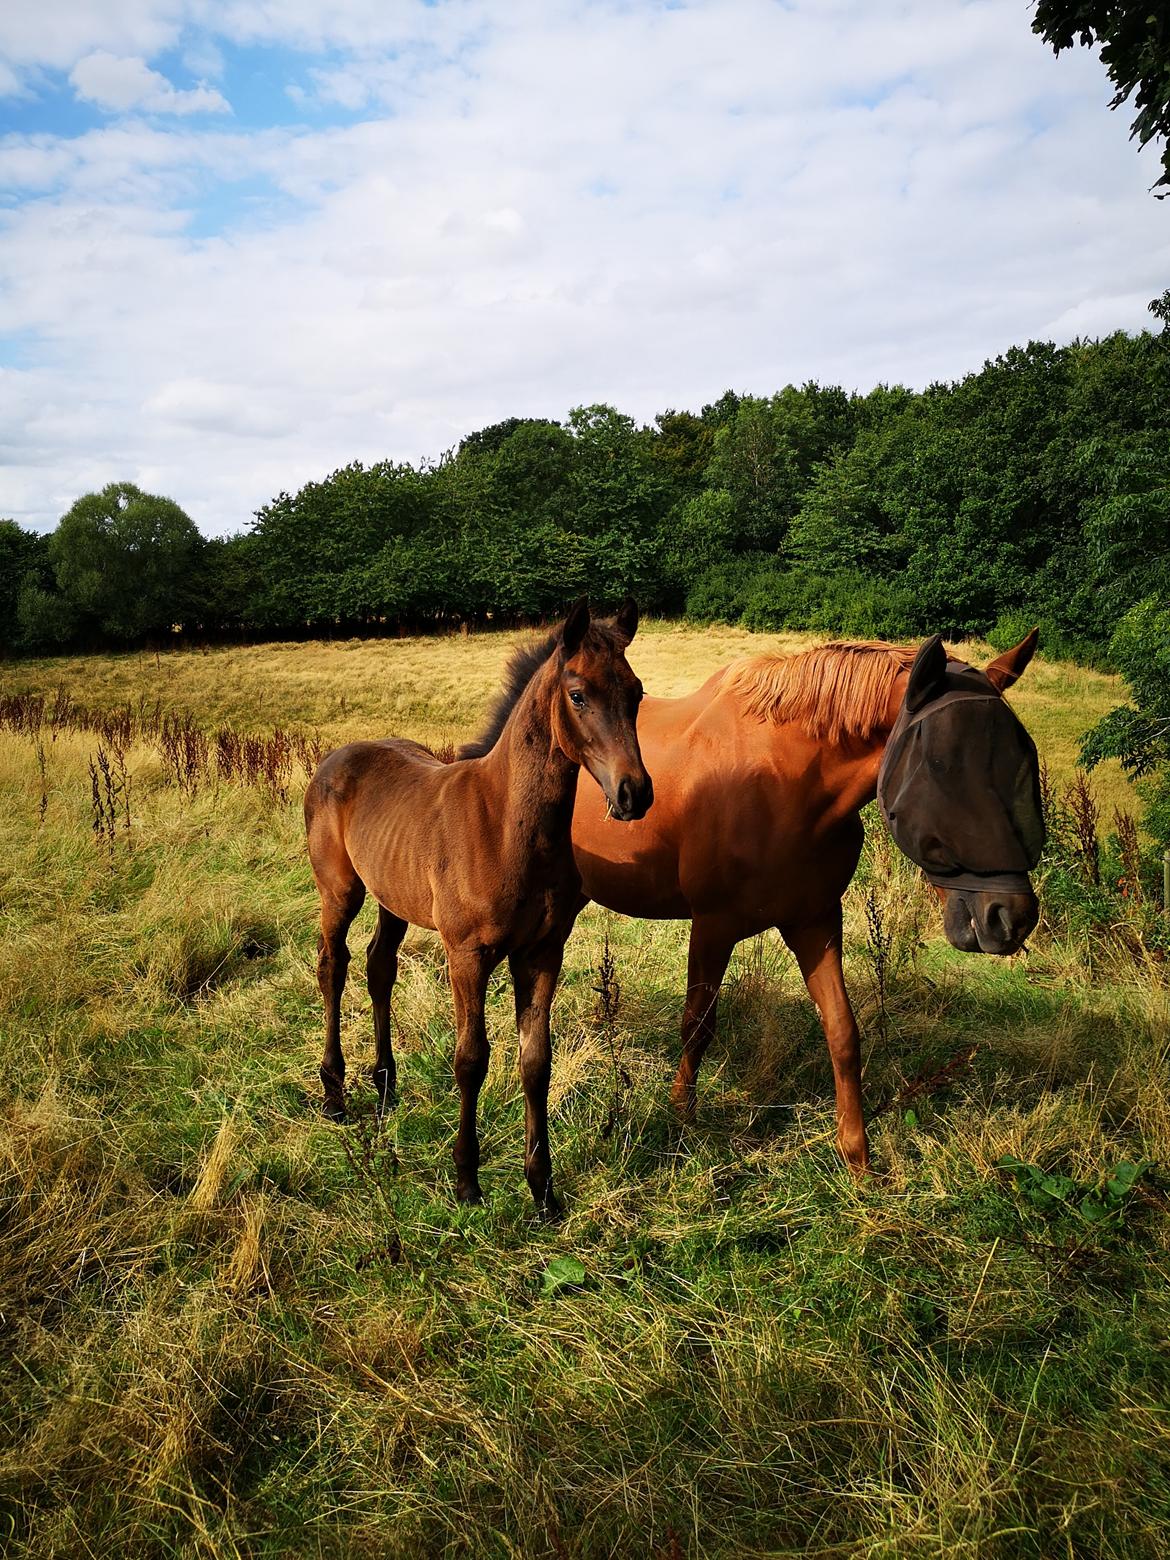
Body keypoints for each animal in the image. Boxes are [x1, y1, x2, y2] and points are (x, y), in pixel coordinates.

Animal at [304, 599, 652, 1216]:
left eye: (636, 693)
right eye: (578, 694)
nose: (634, 793)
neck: (507, 825)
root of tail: (337, 757)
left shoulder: (542, 953)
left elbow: (535, 1061)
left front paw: (542, 1189)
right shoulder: (467, 955)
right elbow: (471, 1059)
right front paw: (467, 1178)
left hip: (394, 897)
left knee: (378, 966)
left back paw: (386, 1086)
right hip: (339, 891)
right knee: (333, 967)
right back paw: (335, 1093)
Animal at [574, 630, 1042, 1173]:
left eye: (1021, 763)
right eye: (942, 768)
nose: (1010, 917)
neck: (781, 784)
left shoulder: (815, 921)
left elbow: (842, 1031)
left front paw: (856, 1155)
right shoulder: (712, 926)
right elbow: (697, 1023)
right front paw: (681, 1116)